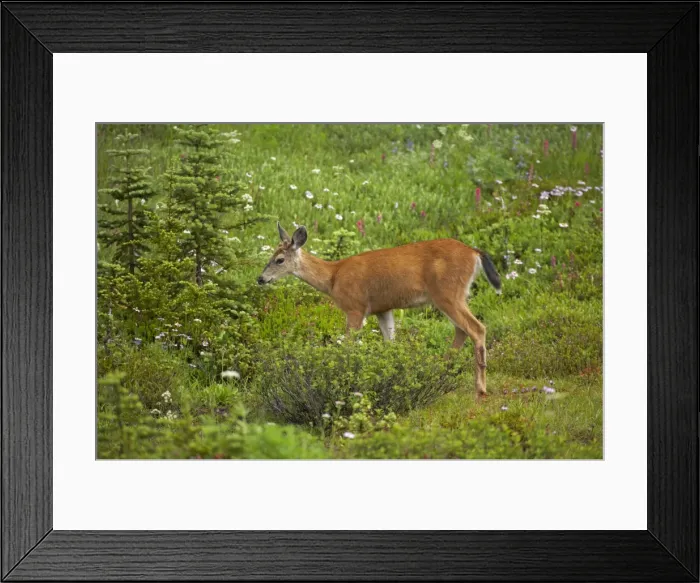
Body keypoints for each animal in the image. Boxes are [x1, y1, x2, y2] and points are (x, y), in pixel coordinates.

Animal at [258, 223, 502, 396]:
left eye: (279, 260)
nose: (260, 279)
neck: (333, 277)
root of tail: (474, 252)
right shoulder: (382, 309)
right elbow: (390, 344)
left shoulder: (355, 307)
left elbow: (349, 346)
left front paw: (346, 380)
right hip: (456, 295)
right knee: (462, 329)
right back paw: (437, 373)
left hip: (447, 293)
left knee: (476, 328)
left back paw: (480, 388)